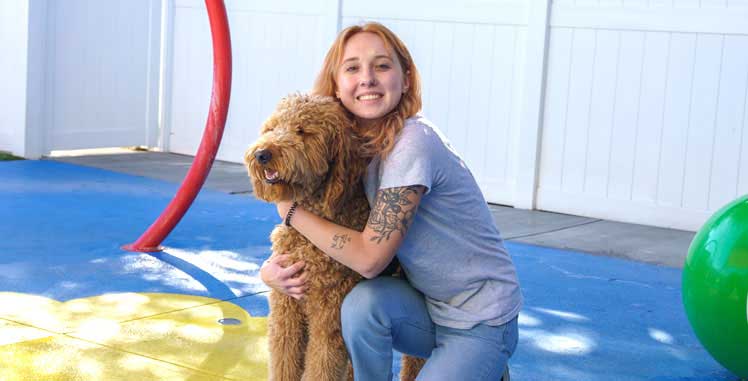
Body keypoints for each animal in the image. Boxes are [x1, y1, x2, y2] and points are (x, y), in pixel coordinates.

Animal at [244, 93, 424, 380]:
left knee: (416, 361)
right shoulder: (286, 310)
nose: (262, 154)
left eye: (303, 131)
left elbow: (321, 367)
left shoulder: (328, 319)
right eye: (272, 128)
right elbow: (284, 361)